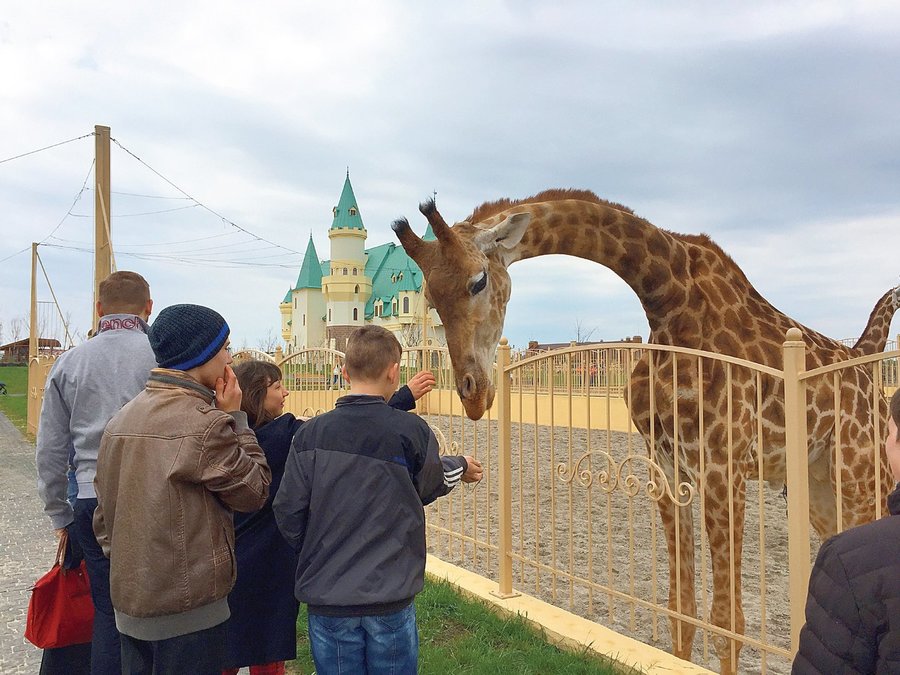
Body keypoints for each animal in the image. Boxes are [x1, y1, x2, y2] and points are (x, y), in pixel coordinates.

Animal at [392, 190, 892, 675]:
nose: (473, 394)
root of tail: (865, 367)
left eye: (479, 281)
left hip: (862, 475)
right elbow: (681, 608)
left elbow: (727, 622)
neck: (668, 298)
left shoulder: (723, 467)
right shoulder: (668, 468)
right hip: (820, 487)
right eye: (431, 298)